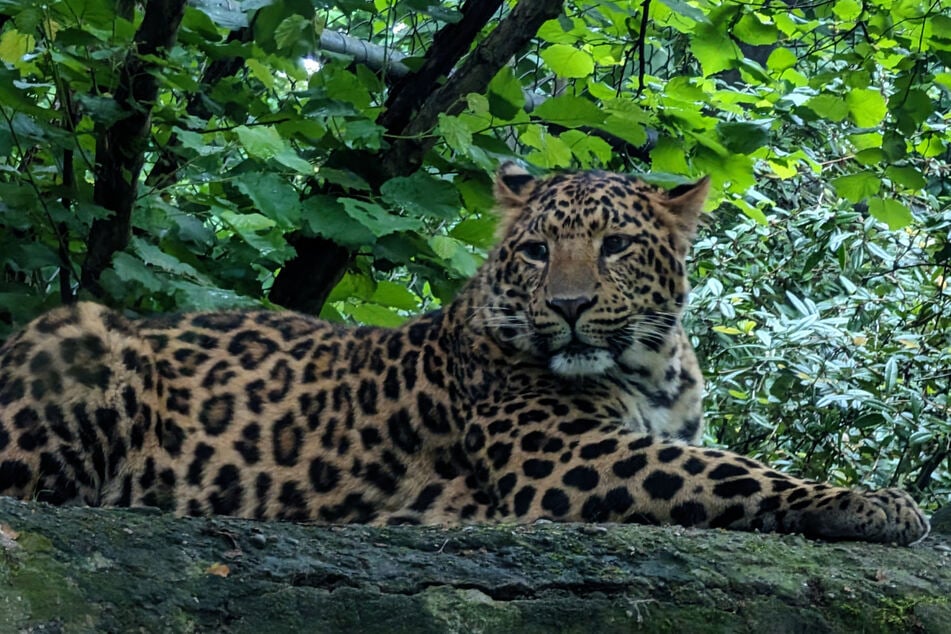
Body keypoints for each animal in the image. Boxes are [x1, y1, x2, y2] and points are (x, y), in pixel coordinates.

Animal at [0, 163, 932, 544]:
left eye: (617, 247)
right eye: (535, 251)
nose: (567, 308)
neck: (651, 368)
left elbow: (722, 459)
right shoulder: (568, 458)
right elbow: (735, 472)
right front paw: (874, 502)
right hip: (80, 333)